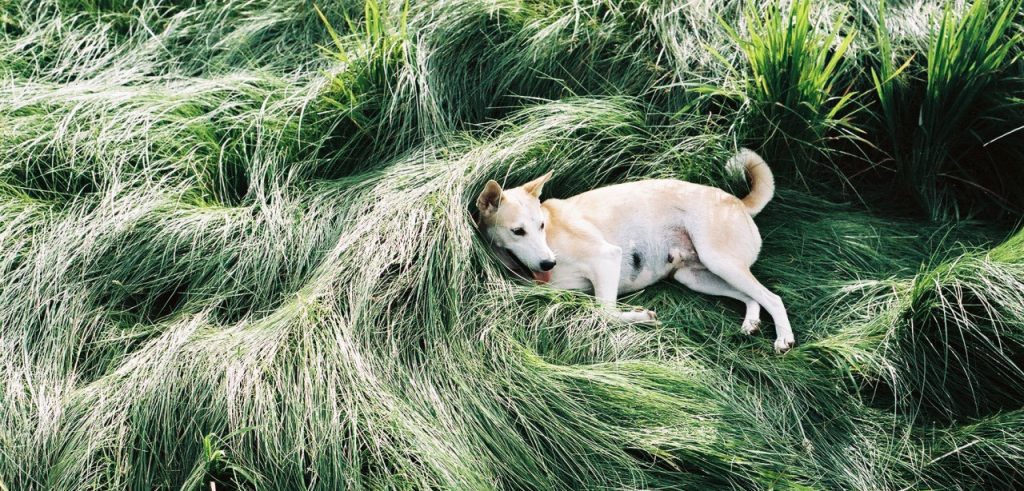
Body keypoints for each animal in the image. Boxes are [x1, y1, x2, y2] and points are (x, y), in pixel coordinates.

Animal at [475, 149, 794, 352]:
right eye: (518, 231)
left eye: (540, 225)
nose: (547, 263)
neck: (552, 235)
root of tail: (738, 202)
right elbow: (599, 310)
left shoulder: (607, 258)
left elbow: (605, 312)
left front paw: (641, 317)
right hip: (696, 277)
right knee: (751, 297)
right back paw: (751, 322)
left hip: (720, 262)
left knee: (772, 298)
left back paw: (784, 339)